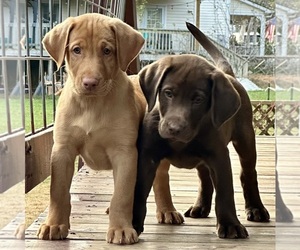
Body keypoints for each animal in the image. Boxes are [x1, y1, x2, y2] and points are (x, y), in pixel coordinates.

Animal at [37, 13, 145, 244]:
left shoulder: (125, 153)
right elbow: (58, 191)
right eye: (77, 50)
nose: (90, 83)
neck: (91, 104)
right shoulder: (62, 150)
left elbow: (122, 194)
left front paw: (121, 228)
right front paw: (54, 224)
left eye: (107, 51)